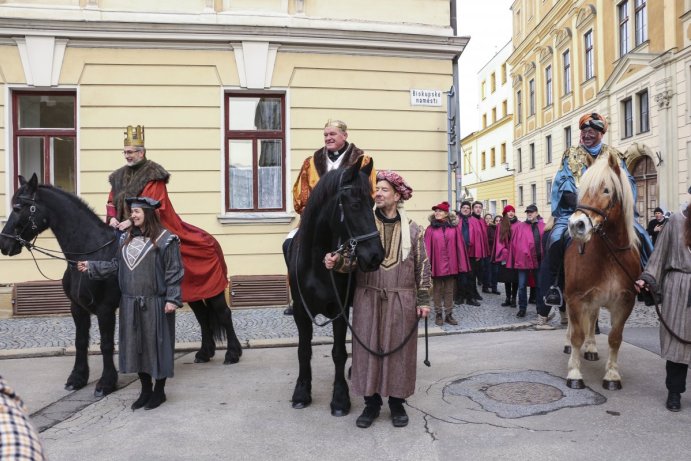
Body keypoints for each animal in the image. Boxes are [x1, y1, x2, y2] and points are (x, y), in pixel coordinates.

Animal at [0, 174, 243, 398]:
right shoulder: (77, 308)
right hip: (191, 294)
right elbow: (80, 341)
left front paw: (106, 383)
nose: (5, 243)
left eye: (19, 207)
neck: (90, 252)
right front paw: (77, 378)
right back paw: (204, 352)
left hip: (213, 291)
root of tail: (210, 238)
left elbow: (106, 344)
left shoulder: (105, 309)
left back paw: (232, 353)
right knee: (202, 316)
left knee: (223, 313)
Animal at [286, 156, 384, 416]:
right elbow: (303, 350)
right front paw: (302, 392)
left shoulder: (340, 311)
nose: (375, 256)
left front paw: (340, 398)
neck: (317, 262)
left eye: (373, 202)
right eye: (355, 205)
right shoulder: (301, 312)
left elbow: (339, 353)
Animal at [564, 150, 640, 388]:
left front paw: (612, 375)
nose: (576, 225)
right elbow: (577, 334)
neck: (609, 256)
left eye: (606, 189)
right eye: (581, 189)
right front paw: (574, 373)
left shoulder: (625, 302)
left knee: (593, 317)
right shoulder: (576, 297)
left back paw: (591, 347)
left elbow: (615, 338)